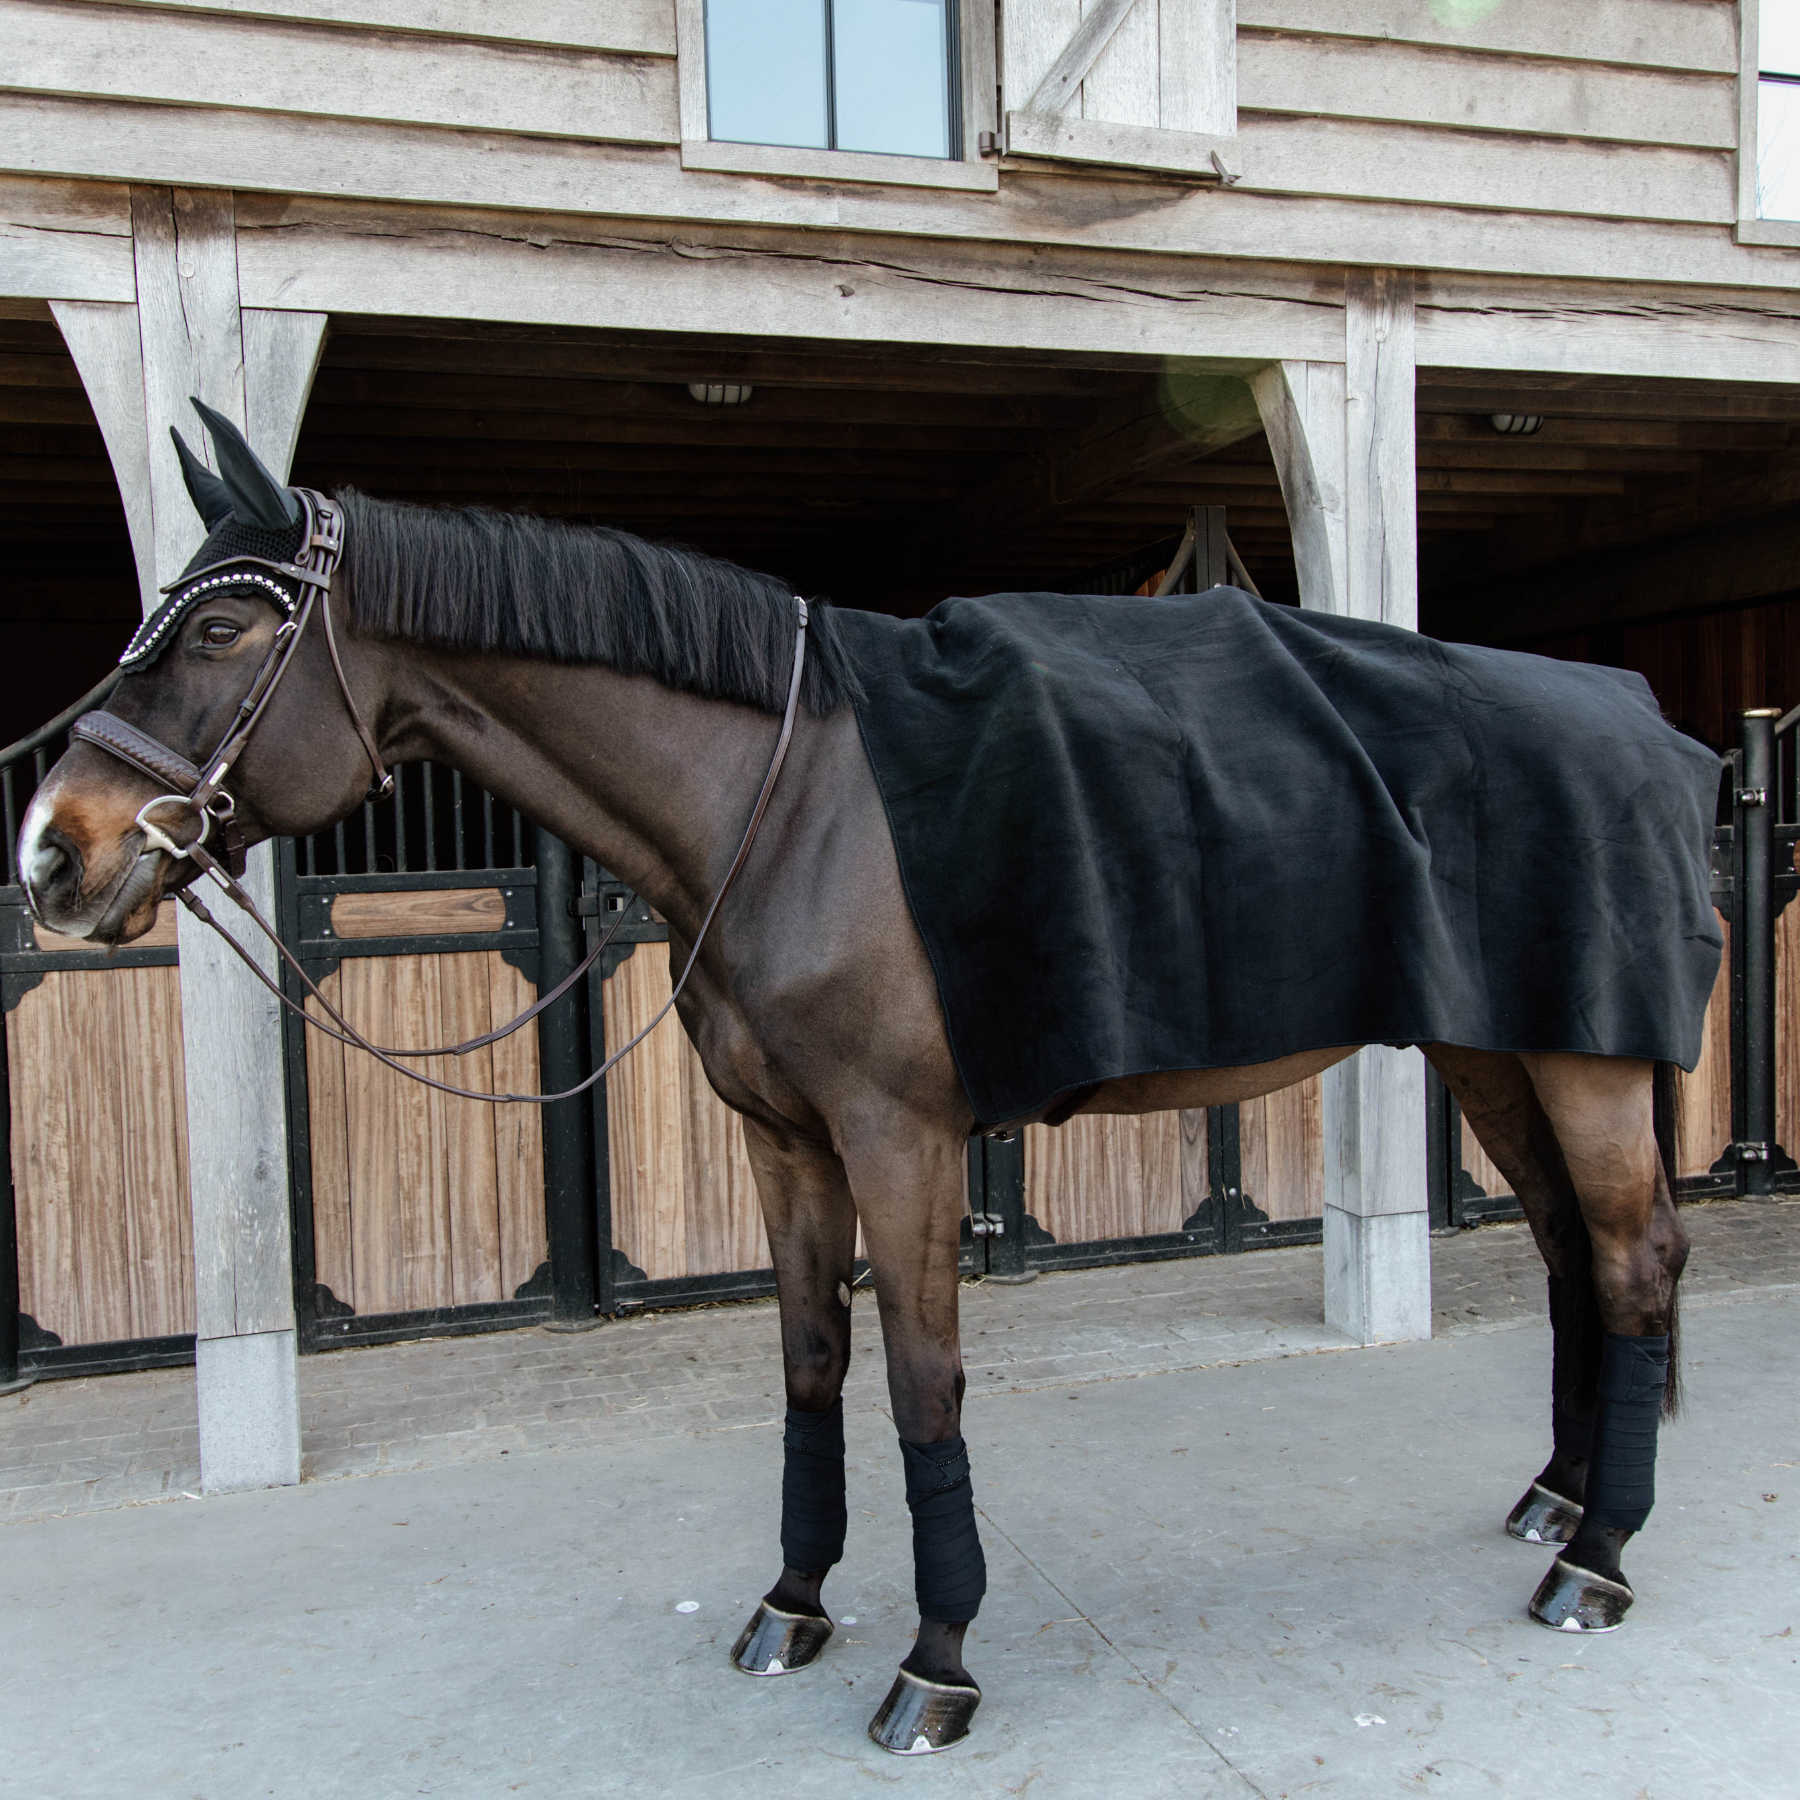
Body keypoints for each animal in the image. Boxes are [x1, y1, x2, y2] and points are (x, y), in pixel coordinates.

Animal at [17, 412, 1684, 1756]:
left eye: (225, 633)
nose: (51, 853)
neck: (788, 806)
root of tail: (1649, 720)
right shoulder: (787, 1144)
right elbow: (812, 1365)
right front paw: (793, 1599)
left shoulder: (904, 1143)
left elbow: (918, 1383)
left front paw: (938, 1662)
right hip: (1495, 1053)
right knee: (1567, 1255)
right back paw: (1556, 1496)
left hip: (1587, 1068)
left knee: (1632, 1259)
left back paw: (1597, 1557)